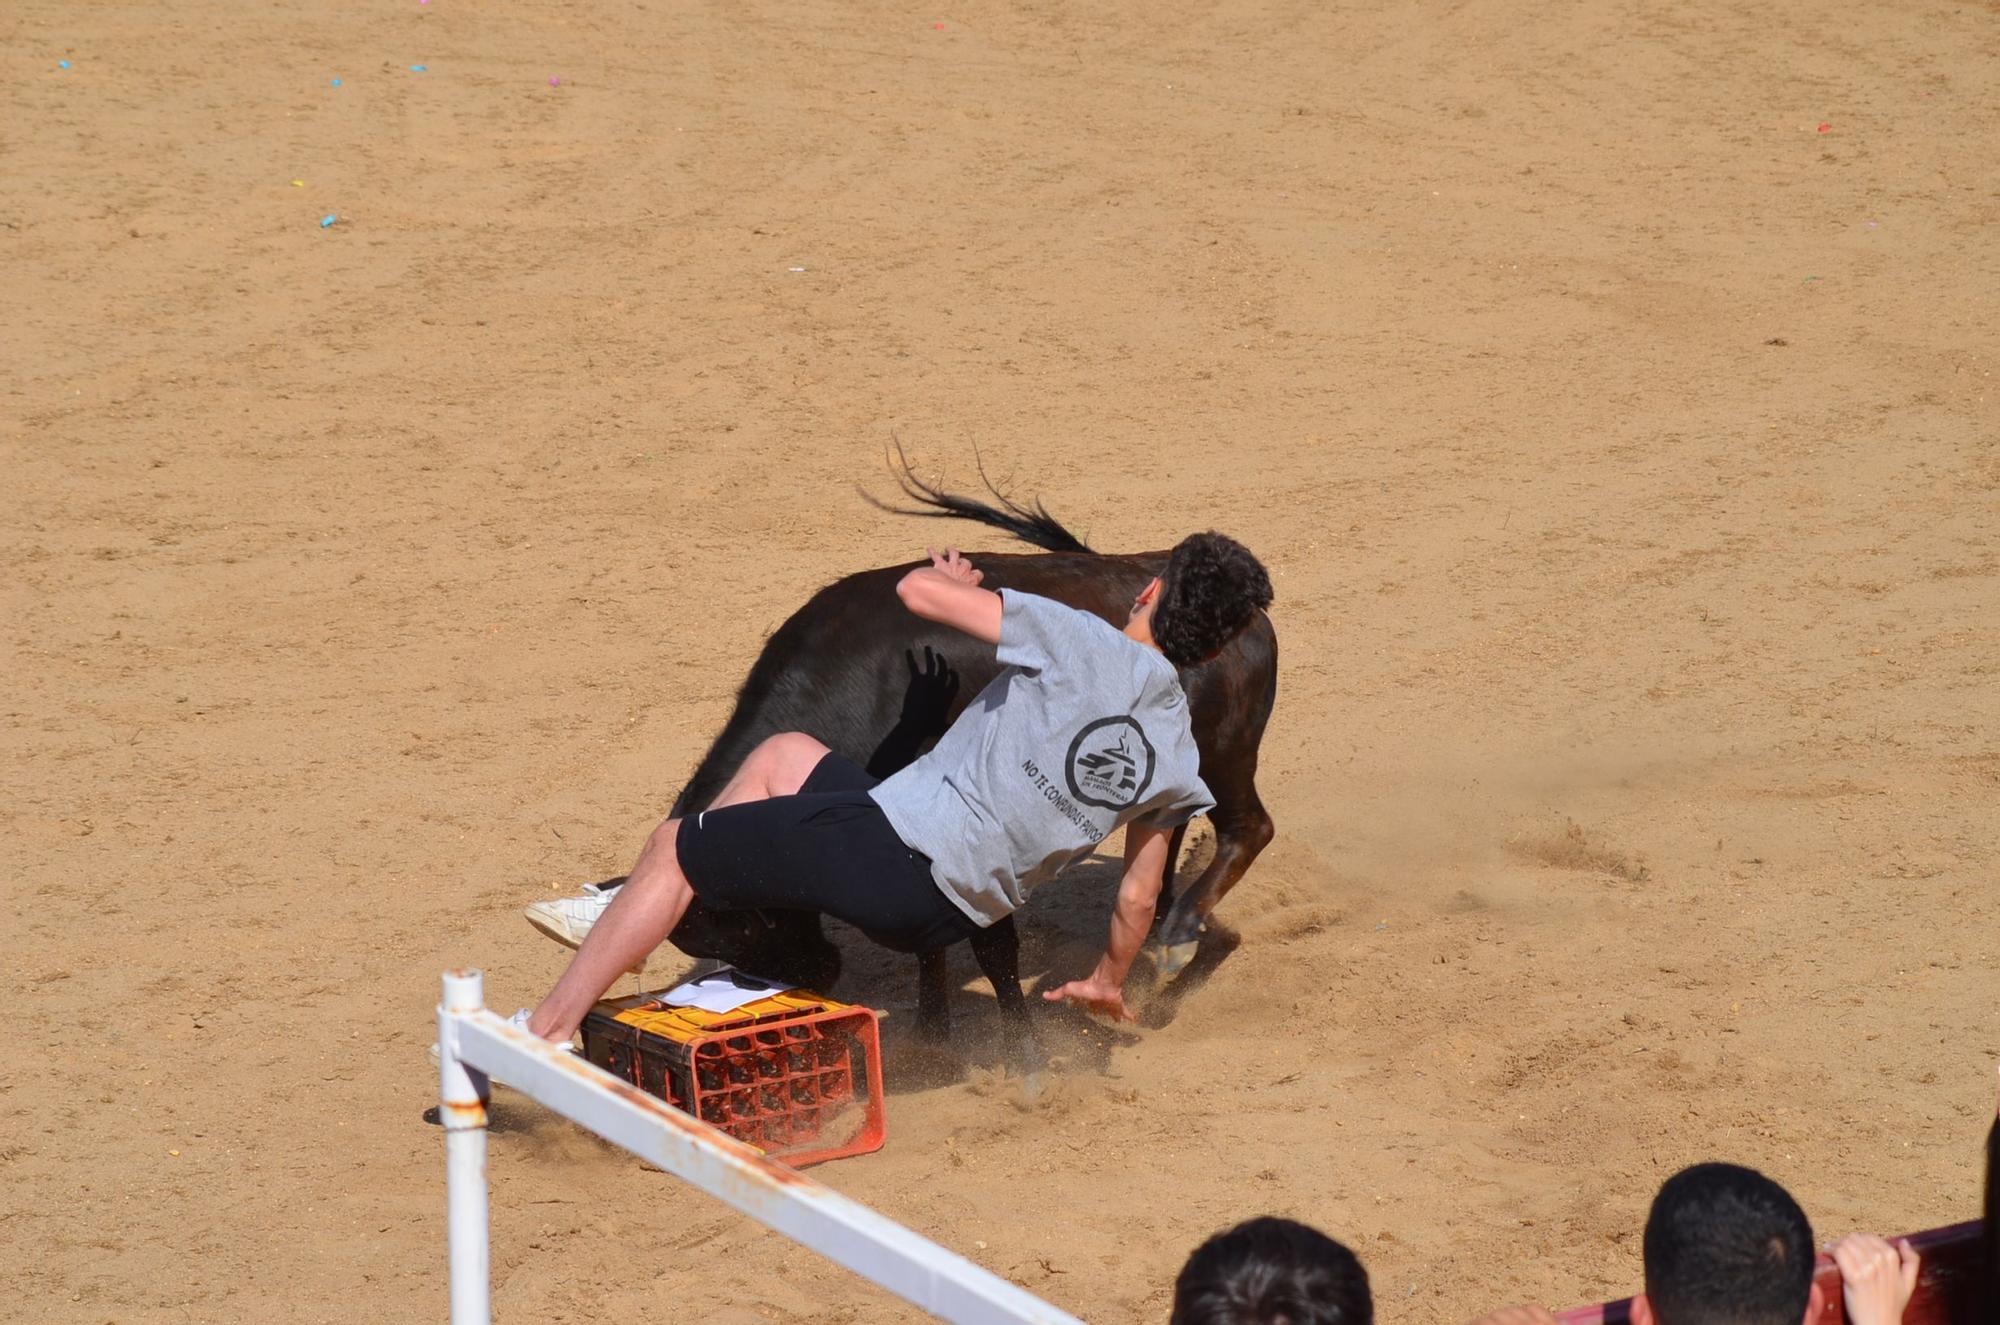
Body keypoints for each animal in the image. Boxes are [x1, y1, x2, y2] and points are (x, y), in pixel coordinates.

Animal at [656, 544, 1280, 1020]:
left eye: (745, 926)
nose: (818, 977)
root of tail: (1254, 618)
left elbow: (981, 942)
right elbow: (930, 947)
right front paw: (933, 1030)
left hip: (1224, 756)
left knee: (1250, 828)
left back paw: (1181, 935)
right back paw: (1166, 927)